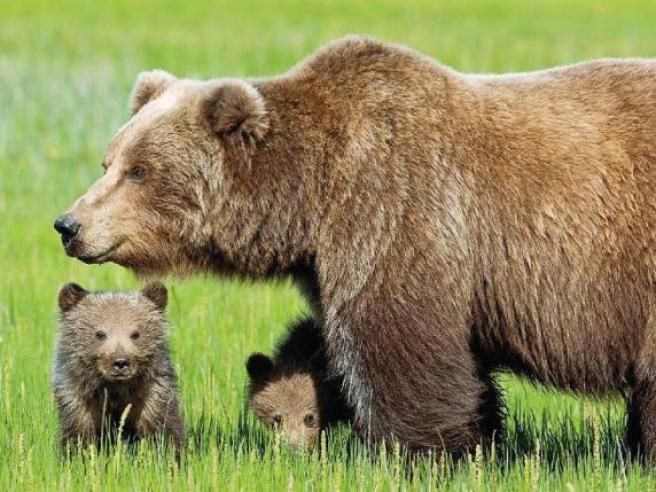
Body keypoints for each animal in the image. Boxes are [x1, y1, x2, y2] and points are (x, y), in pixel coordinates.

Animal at [55, 36, 656, 460]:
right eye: (109, 160)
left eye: (140, 170)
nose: (68, 224)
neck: (310, 196)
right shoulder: (329, 258)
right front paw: (480, 439)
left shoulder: (395, 209)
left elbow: (398, 344)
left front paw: (423, 452)